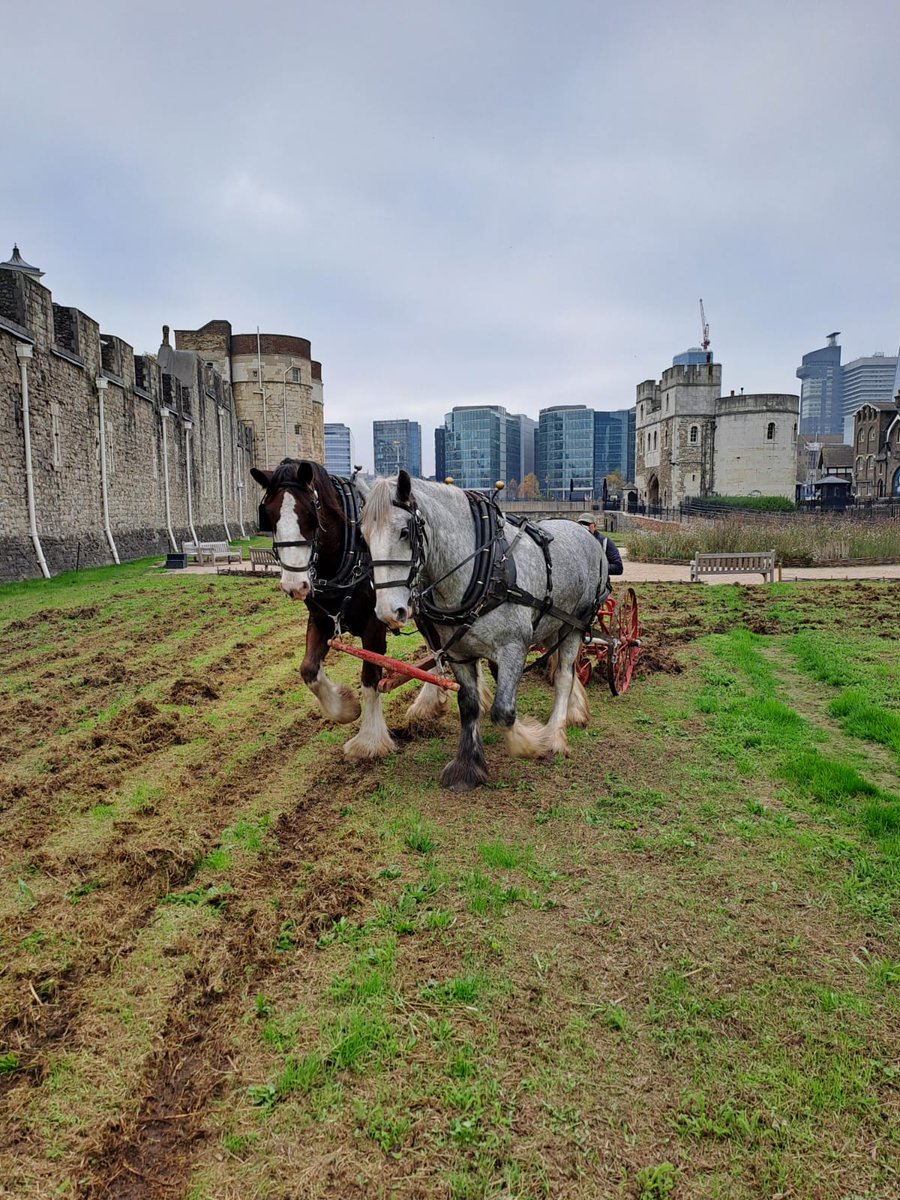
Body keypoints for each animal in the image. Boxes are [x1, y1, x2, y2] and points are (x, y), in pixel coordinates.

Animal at [251, 459, 447, 760]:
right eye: (269, 515)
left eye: (311, 514)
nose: (294, 585)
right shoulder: (321, 620)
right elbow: (308, 670)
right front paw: (345, 708)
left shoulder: (374, 625)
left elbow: (370, 679)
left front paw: (369, 741)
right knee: (435, 649)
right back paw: (428, 703)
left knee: (440, 647)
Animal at [362, 472, 608, 791]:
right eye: (364, 536)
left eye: (404, 532)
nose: (389, 612)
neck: (487, 567)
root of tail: (584, 532)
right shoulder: (458, 653)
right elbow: (469, 706)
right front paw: (467, 768)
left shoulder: (514, 647)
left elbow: (503, 712)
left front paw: (532, 742)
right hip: (553, 625)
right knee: (569, 669)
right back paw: (575, 711)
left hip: (575, 624)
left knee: (564, 675)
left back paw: (555, 735)